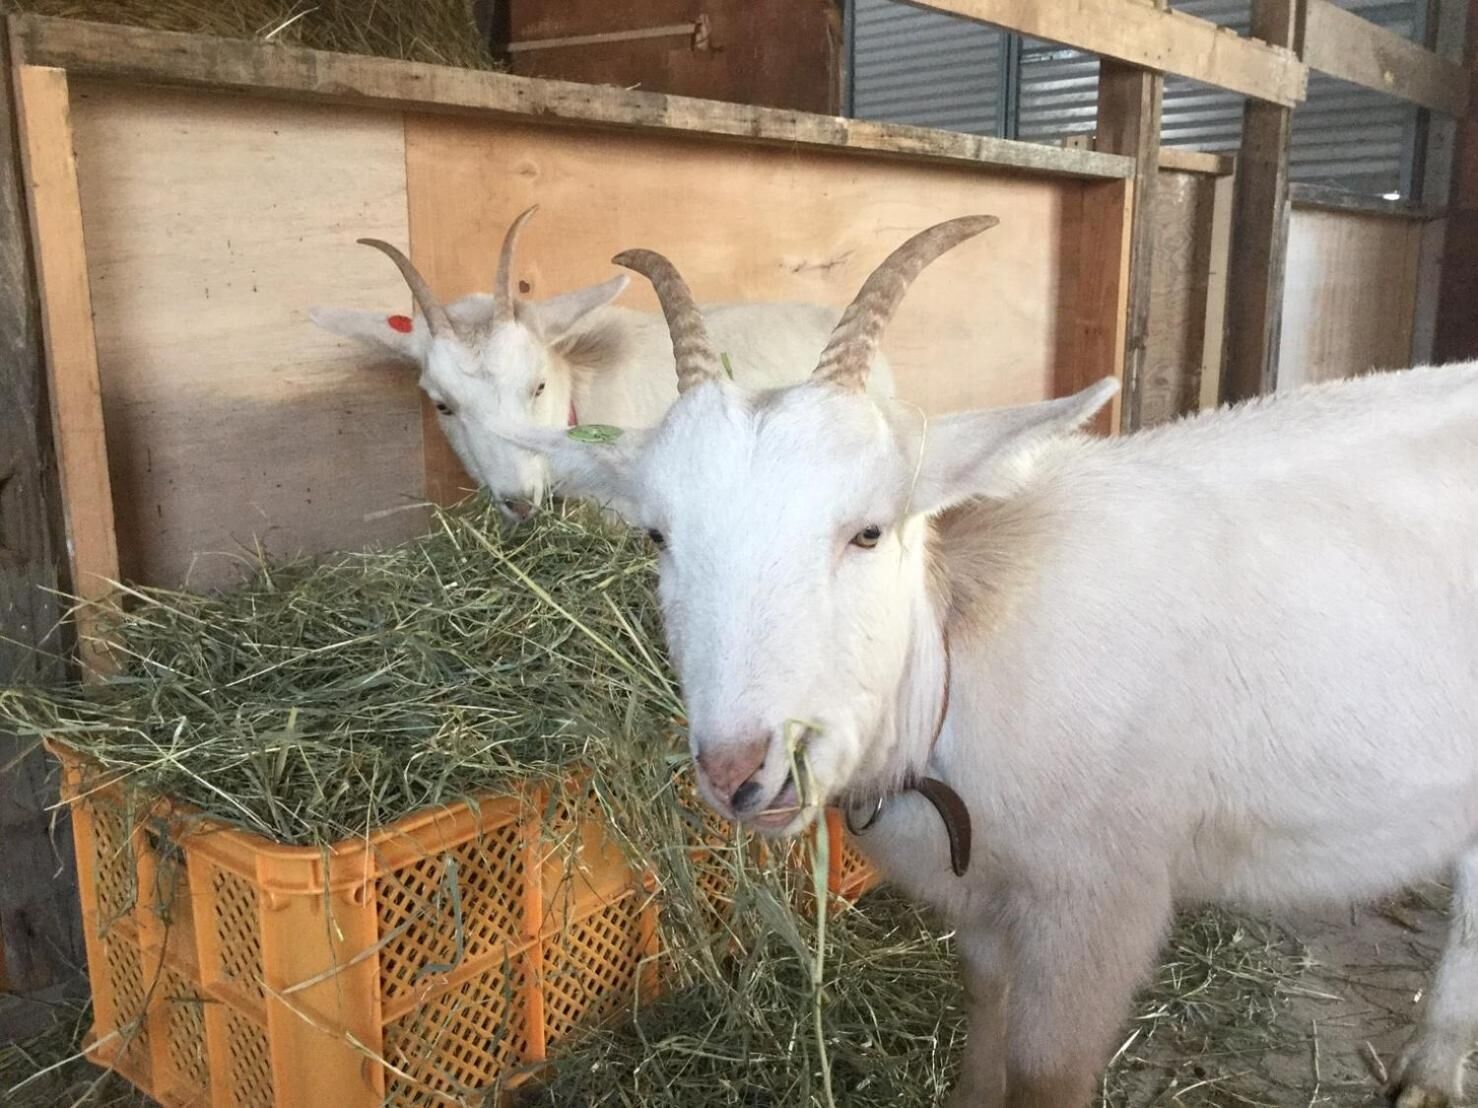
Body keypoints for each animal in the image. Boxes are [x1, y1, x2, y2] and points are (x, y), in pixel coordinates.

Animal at [492, 215, 1478, 1108]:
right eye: (657, 536)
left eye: (869, 531)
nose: (744, 772)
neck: (958, 660)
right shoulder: (988, 911)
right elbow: (981, 1025)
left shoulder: (1099, 903)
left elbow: (1045, 1075)